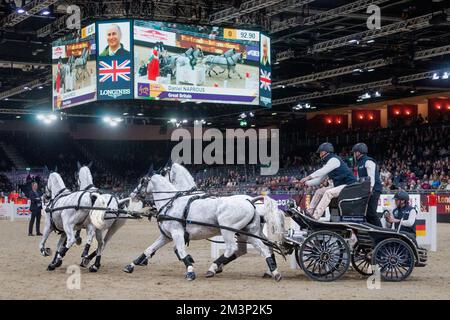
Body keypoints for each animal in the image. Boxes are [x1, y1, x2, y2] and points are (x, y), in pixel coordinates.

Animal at [121, 170, 280, 280]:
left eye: (142, 181)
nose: (132, 194)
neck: (172, 202)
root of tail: (250, 201)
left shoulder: (177, 233)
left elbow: (181, 251)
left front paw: (190, 271)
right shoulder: (166, 236)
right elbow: (149, 249)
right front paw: (131, 265)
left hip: (228, 231)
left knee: (231, 249)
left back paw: (213, 268)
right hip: (248, 232)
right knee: (265, 249)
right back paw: (274, 272)